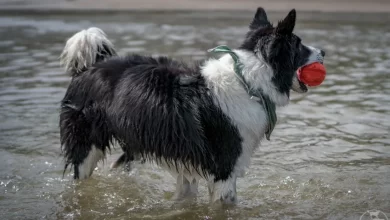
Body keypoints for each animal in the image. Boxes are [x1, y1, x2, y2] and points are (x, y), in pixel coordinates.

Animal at [59, 6, 324, 204]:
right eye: (299, 44)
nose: (323, 51)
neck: (248, 82)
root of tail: (89, 66)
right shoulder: (225, 168)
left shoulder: (187, 163)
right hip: (86, 146)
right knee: (81, 177)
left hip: (134, 141)